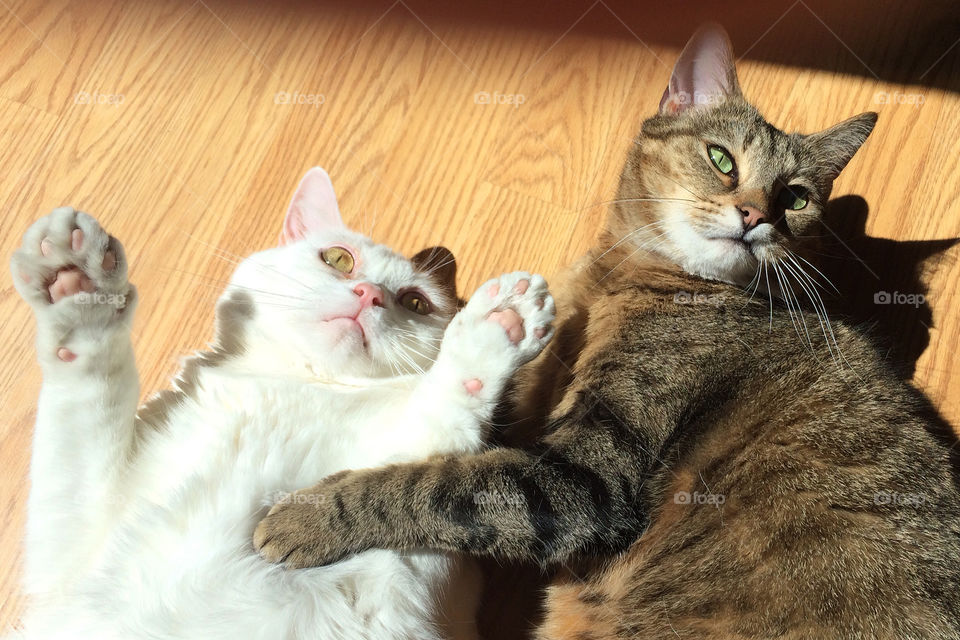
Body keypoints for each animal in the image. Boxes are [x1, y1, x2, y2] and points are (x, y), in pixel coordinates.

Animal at [5, 169, 556, 640]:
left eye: (417, 303)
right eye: (338, 259)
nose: (369, 294)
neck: (296, 385)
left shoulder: (411, 485)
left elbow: (429, 441)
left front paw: (498, 323)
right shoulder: (69, 544)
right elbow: (89, 384)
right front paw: (75, 283)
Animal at [255, 26, 960, 640]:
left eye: (794, 198)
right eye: (722, 160)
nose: (756, 215)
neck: (622, 279)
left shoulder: (587, 479)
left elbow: (437, 485)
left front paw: (308, 516)